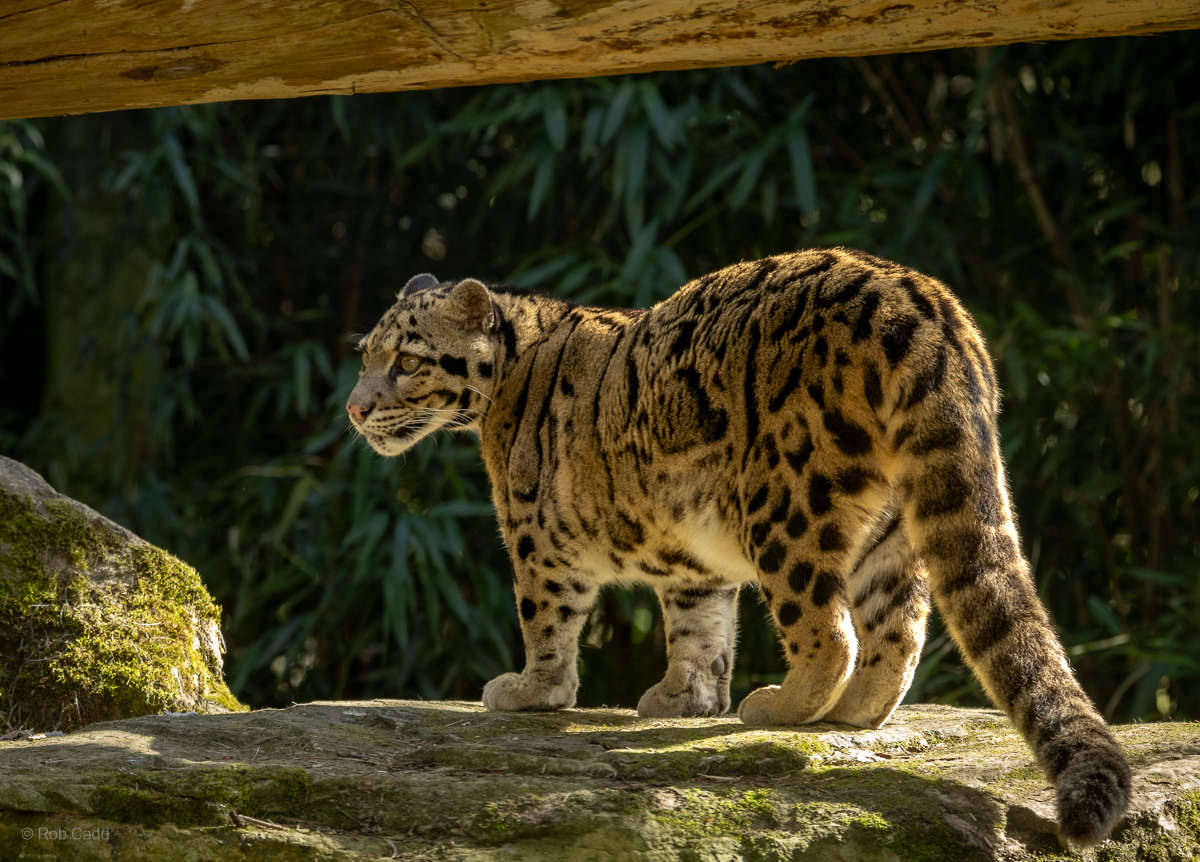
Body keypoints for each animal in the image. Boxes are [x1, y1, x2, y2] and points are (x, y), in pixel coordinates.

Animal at [346, 248, 1130, 846]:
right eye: (364, 355)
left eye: (407, 360)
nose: (354, 408)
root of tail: (921, 301)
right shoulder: (691, 563)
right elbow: (700, 630)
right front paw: (682, 699)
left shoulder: (536, 537)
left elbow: (547, 620)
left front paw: (531, 692)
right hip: (893, 527)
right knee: (897, 632)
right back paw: (850, 713)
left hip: (788, 504)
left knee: (828, 630)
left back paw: (780, 706)